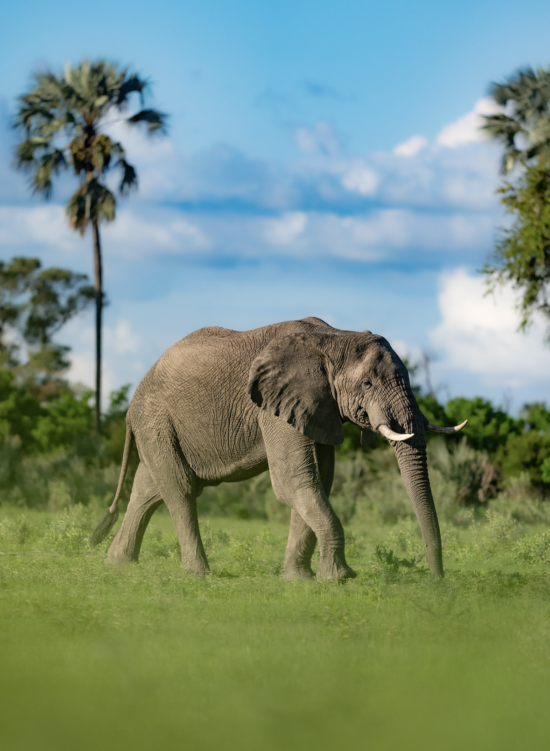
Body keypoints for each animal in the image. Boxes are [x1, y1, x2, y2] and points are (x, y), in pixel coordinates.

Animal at [89, 318, 466, 580]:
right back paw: (199, 574)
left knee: (148, 489)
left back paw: (117, 564)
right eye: (368, 383)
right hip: (156, 419)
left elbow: (317, 483)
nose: (437, 580)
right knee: (180, 489)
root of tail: (132, 400)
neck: (334, 337)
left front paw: (299, 579)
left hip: (160, 426)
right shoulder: (274, 406)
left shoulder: (318, 408)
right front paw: (340, 579)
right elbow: (293, 483)